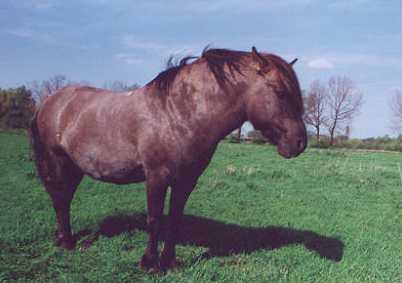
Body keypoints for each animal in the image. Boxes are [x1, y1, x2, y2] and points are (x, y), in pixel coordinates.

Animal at [30, 46, 308, 272]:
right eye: (280, 92)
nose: (300, 143)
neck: (178, 113)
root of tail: (50, 101)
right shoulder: (156, 176)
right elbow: (154, 220)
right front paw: (149, 264)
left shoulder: (186, 180)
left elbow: (174, 219)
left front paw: (170, 263)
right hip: (57, 162)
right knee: (60, 200)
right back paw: (67, 242)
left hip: (74, 167)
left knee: (63, 199)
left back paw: (63, 238)